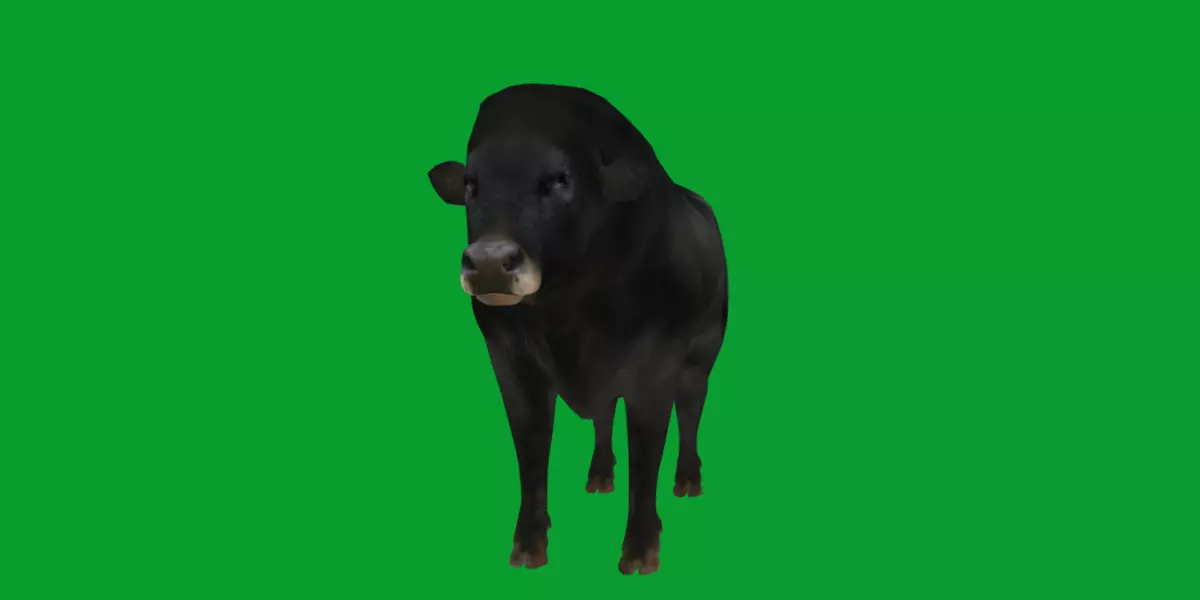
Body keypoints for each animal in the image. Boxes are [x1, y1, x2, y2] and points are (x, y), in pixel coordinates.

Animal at [426, 83, 728, 575]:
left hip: (702, 357)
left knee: (690, 413)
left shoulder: (656, 369)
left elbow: (647, 453)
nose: (489, 263)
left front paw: (641, 548)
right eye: (471, 184)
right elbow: (531, 449)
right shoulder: (510, 363)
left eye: (560, 180)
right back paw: (600, 474)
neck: (568, 319)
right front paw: (528, 544)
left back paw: (687, 480)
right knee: (604, 415)